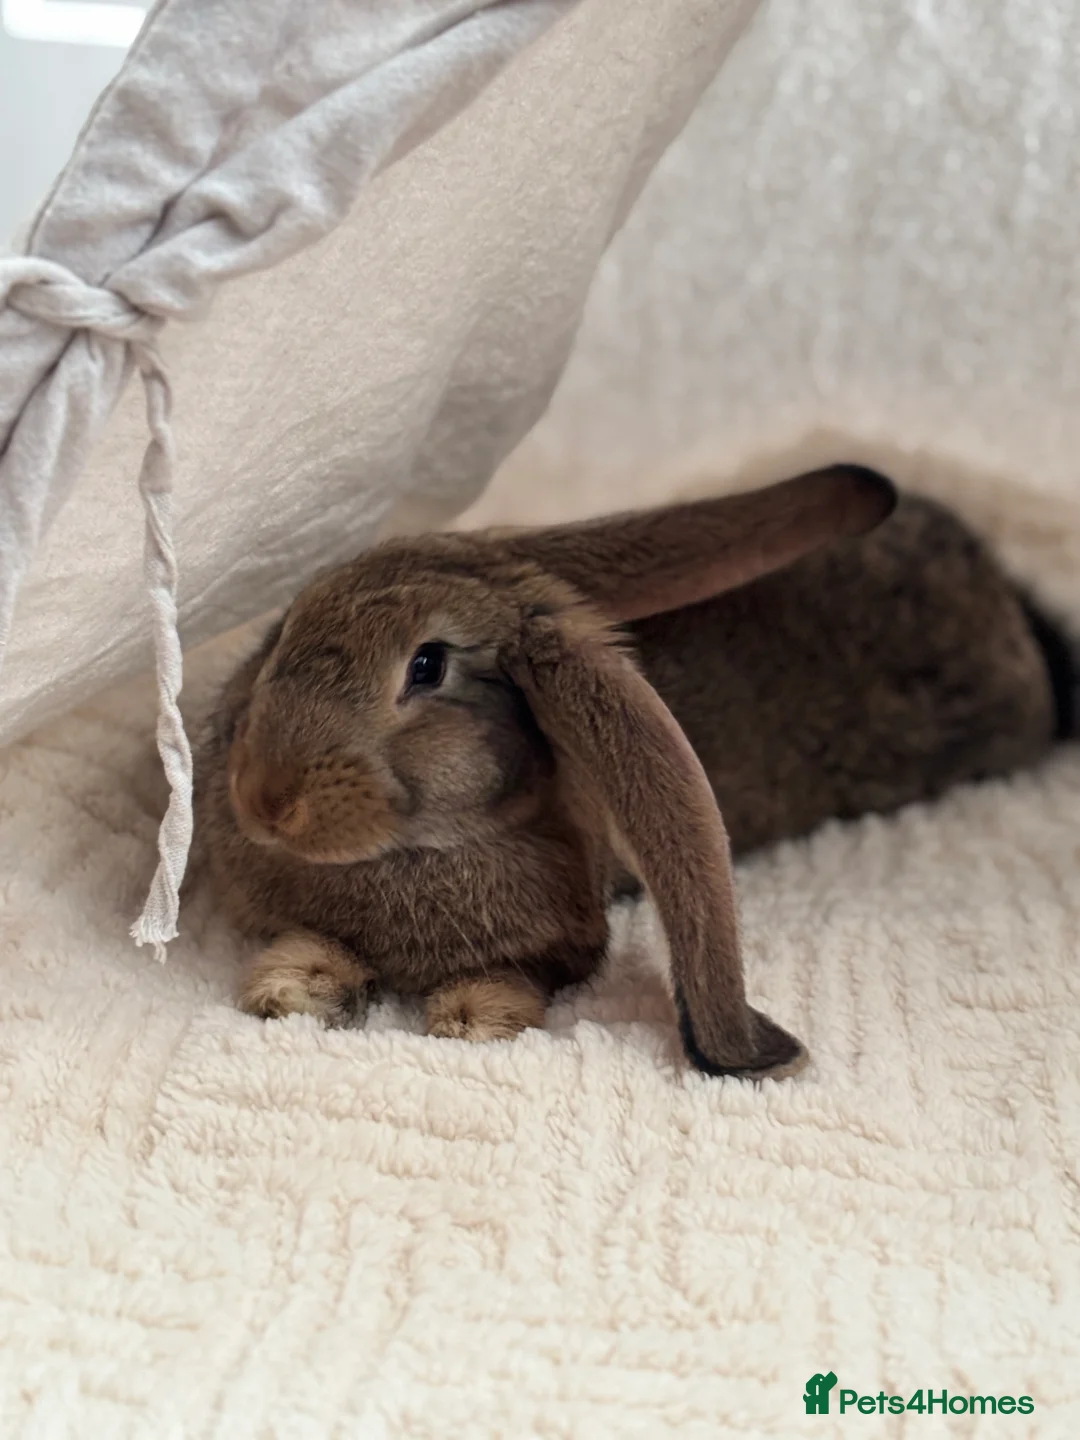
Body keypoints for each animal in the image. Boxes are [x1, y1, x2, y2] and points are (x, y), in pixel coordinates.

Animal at [193, 465, 1072, 1080]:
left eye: (428, 667)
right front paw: (292, 988)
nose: (264, 800)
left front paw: (473, 1017)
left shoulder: (560, 947)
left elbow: (516, 982)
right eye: (286, 630)